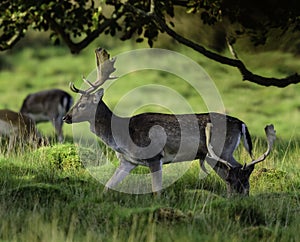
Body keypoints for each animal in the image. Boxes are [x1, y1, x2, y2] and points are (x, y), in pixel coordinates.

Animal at [63, 48, 276, 196]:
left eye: (83, 104)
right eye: (76, 102)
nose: (66, 117)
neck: (122, 137)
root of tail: (241, 123)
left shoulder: (154, 157)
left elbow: (156, 190)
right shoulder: (128, 161)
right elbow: (107, 186)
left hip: (222, 149)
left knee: (240, 168)